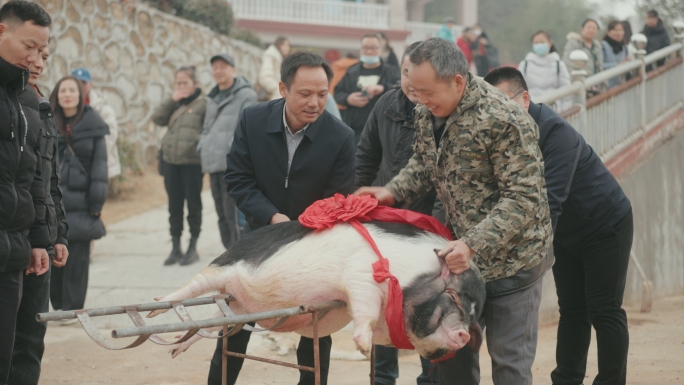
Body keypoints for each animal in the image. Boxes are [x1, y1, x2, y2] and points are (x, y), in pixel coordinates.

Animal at [148, 220, 486, 358]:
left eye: (473, 314)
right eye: (452, 295)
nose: (464, 334)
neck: (407, 275)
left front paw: (367, 348)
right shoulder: (362, 275)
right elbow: (364, 307)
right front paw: (364, 348)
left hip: (239, 310)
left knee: (211, 322)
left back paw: (175, 350)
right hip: (222, 266)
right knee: (189, 290)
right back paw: (155, 308)